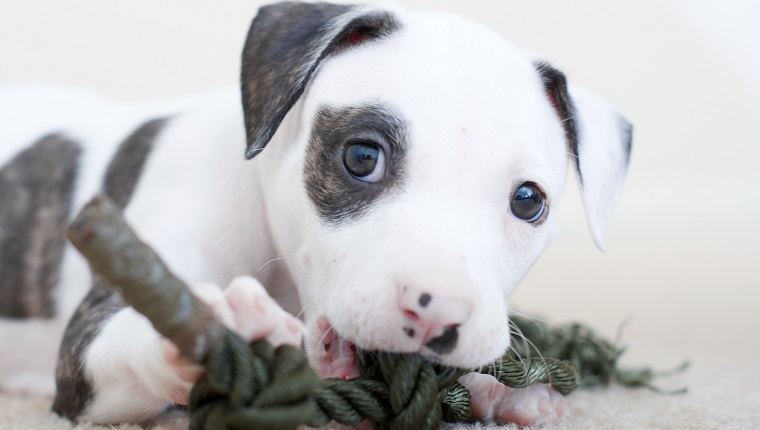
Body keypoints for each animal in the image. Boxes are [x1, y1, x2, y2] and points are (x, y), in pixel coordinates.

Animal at [0, 0, 628, 426]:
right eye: (362, 157)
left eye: (528, 200)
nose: (438, 314)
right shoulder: (89, 340)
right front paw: (223, 326)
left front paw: (506, 394)